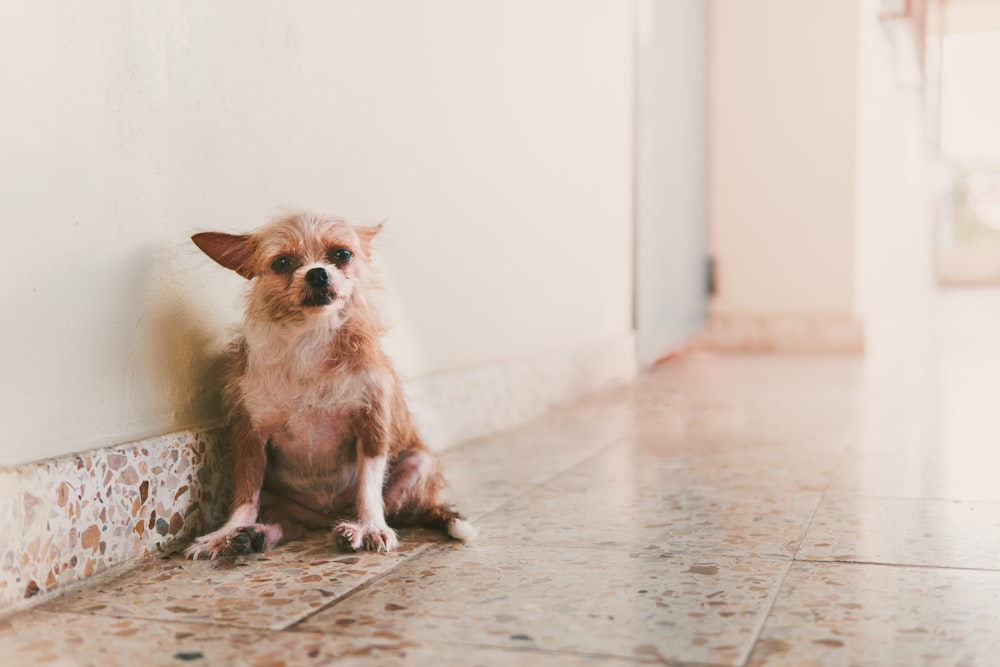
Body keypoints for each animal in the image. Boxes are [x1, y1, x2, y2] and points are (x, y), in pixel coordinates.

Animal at [186, 214, 474, 560]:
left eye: (342, 254)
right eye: (282, 262)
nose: (317, 273)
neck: (311, 339)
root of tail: (325, 518)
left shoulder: (372, 426)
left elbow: (369, 489)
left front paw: (372, 527)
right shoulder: (250, 438)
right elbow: (245, 498)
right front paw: (224, 533)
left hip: (419, 463)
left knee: (388, 508)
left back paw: (352, 529)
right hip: (280, 500)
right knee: (289, 526)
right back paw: (253, 536)